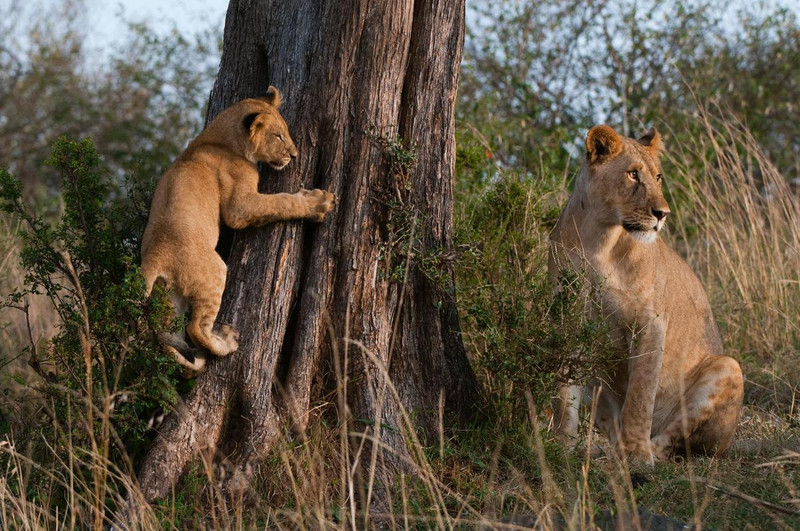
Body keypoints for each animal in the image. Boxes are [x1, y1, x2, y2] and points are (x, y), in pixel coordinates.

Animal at [141, 86, 335, 373]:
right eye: (278, 135)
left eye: (285, 131)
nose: (294, 155)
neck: (219, 138)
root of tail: (155, 256)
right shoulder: (239, 206)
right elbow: (281, 202)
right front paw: (318, 203)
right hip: (215, 271)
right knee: (196, 327)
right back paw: (226, 341)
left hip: (170, 295)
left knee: (169, 338)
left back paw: (193, 358)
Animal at [549, 124, 743, 463]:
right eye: (632, 174)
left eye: (658, 176)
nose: (662, 213)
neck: (599, 242)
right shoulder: (566, 317)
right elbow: (564, 392)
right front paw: (561, 445)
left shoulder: (650, 323)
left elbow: (640, 394)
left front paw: (636, 452)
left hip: (729, 368)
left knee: (676, 441)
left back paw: (643, 451)